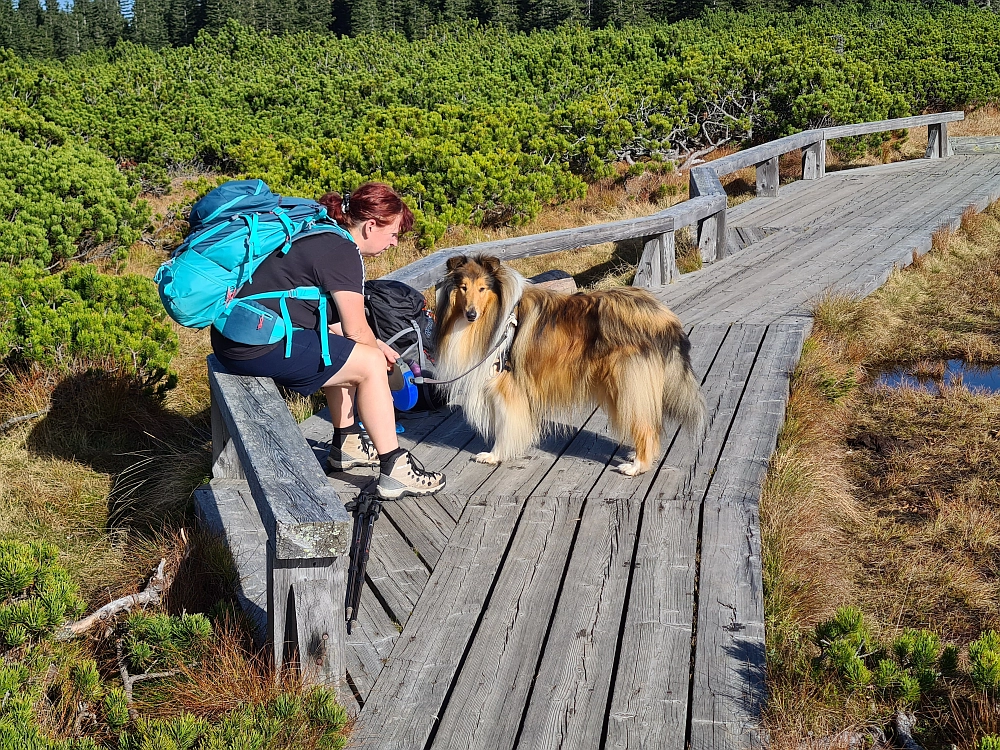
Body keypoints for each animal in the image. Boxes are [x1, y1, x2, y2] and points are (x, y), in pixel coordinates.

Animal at [434, 253, 708, 476]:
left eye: (482, 288)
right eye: (463, 288)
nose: (471, 314)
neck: (499, 318)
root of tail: (664, 317)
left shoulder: (507, 386)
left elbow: (504, 427)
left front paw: (494, 455)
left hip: (628, 384)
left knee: (647, 426)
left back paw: (637, 466)